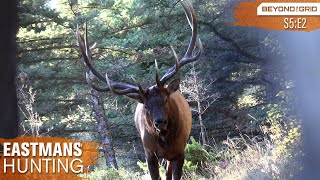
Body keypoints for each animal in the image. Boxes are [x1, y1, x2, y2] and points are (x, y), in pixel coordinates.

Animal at [75, 0, 200, 179]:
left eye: (166, 99)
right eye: (146, 106)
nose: (160, 122)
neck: (165, 140)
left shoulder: (180, 151)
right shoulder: (149, 153)